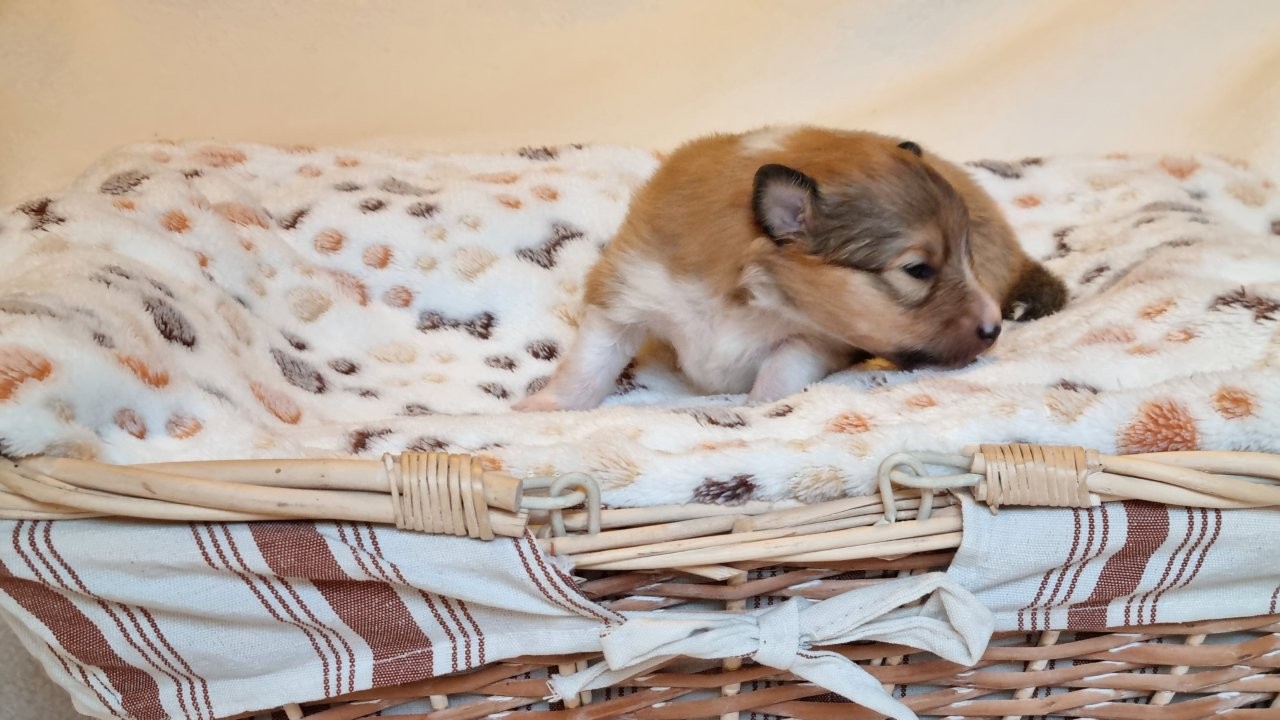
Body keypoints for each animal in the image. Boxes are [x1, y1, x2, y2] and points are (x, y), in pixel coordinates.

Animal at [514, 126, 1066, 411]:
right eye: (918, 270)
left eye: (963, 254)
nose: (993, 330)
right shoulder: (628, 291)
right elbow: (589, 363)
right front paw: (544, 408)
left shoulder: (817, 337)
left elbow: (782, 369)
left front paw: (758, 409)